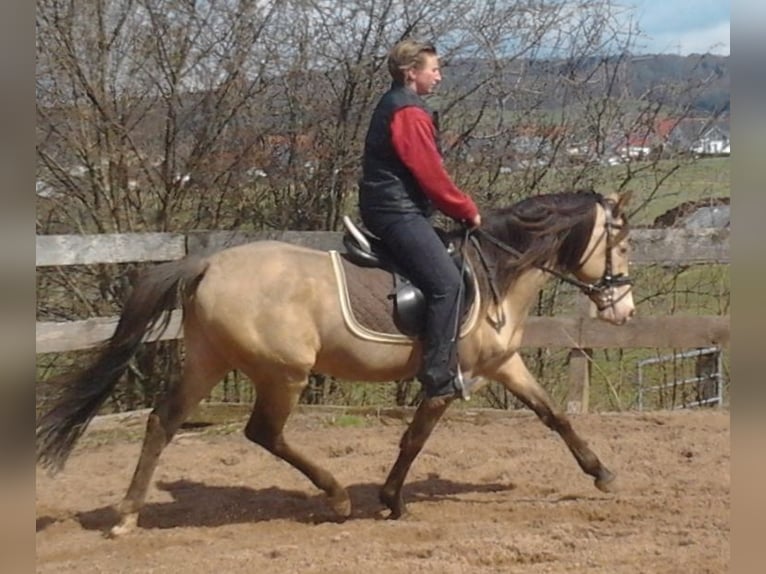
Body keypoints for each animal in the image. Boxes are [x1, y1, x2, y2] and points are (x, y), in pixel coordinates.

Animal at [36, 191, 636, 536]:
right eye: (624, 245)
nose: (624, 310)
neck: (495, 271)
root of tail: (206, 264)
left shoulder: (504, 363)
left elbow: (553, 415)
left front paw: (603, 473)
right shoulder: (450, 378)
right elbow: (414, 439)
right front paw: (391, 500)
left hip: (209, 360)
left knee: (164, 421)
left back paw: (126, 517)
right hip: (283, 373)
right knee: (263, 432)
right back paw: (339, 498)